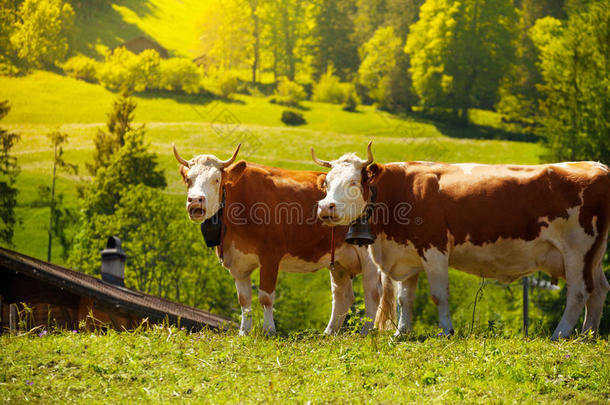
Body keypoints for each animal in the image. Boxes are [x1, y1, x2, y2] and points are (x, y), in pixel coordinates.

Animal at [172, 144, 380, 332]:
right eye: (188, 179)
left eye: (216, 179)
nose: (195, 200)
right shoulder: (237, 262)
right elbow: (244, 299)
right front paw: (244, 331)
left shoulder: (270, 256)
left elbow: (265, 297)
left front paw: (268, 330)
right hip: (339, 260)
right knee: (342, 296)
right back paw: (329, 333)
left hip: (369, 258)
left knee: (372, 294)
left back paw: (366, 332)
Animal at [312, 144, 604, 340]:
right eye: (326, 183)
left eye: (353, 182)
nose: (325, 207)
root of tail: (595, 165)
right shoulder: (408, 253)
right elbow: (405, 298)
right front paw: (401, 333)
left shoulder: (435, 248)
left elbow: (438, 294)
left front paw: (445, 331)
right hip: (593, 256)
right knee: (599, 290)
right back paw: (588, 335)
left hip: (576, 251)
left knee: (578, 292)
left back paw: (560, 334)